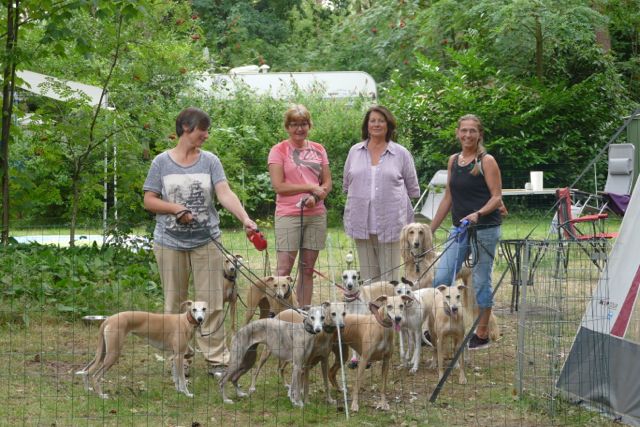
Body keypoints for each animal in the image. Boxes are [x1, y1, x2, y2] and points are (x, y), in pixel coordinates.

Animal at [76, 300, 207, 398]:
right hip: (113, 354)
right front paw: (187, 393)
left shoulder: (176, 354)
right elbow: (182, 378)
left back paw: (88, 389)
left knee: (86, 370)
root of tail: (108, 319)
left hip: (102, 353)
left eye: (204, 308)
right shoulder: (179, 355)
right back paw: (101, 395)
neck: (186, 321)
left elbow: (177, 373)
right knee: (95, 376)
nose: (200, 319)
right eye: (194, 309)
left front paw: (179, 390)